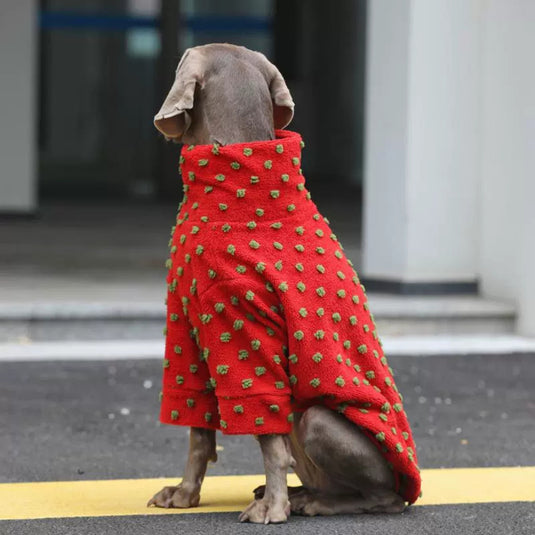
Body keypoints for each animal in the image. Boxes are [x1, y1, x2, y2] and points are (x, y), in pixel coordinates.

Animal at [149, 44, 420, 524]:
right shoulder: (188, 328)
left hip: (317, 422)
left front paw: (271, 508)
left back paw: (308, 501)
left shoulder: (241, 328)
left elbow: (265, 433)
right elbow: (198, 428)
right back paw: (296, 493)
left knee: (379, 496)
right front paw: (184, 494)